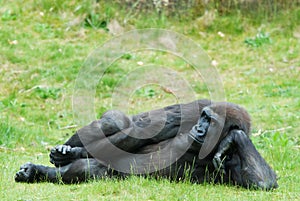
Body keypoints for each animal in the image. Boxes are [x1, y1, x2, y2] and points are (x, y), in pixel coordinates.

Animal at [15, 99, 278, 191]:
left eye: (211, 123)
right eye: (203, 117)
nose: (199, 129)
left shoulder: (233, 161)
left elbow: (264, 182)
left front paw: (233, 138)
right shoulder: (194, 110)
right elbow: (137, 133)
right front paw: (70, 153)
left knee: (92, 170)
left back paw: (38, 172)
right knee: (118, 123)